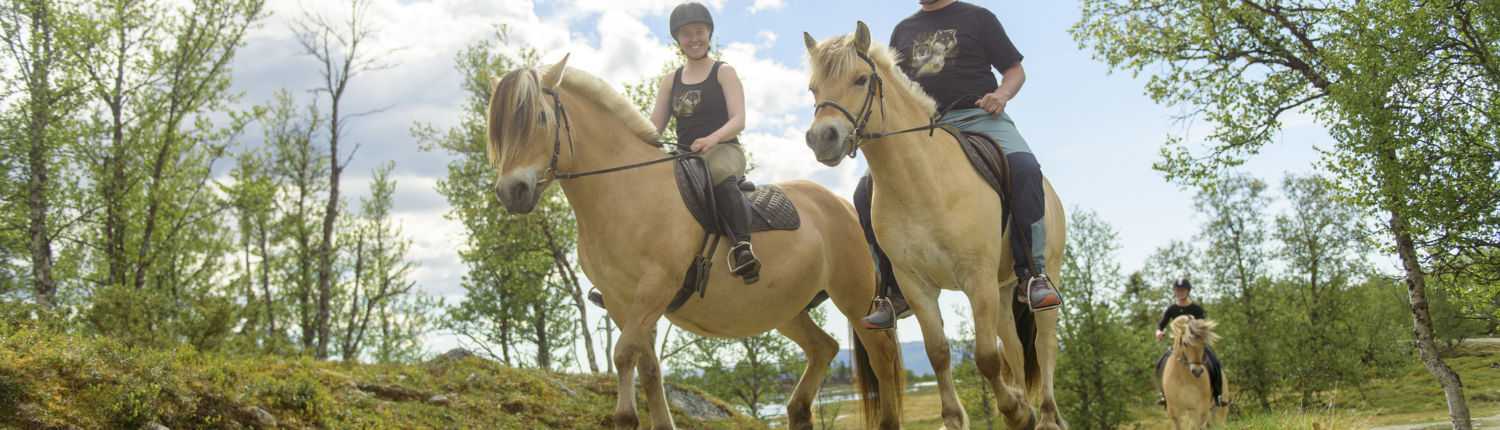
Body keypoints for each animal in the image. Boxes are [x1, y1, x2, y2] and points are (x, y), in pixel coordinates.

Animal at [486, 55, 900, 428]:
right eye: (499, 130)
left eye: (540, 119)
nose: (511, 192)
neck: (622, 188)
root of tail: (842, 205)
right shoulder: (621, 301)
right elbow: (647, 366)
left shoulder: (655, 288)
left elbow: (623, 355)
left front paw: (625, 416)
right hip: (789, 307)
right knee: (823, 348)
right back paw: (798, 410)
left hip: (854, 300)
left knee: (882, 362)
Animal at [804, 22, 1074, 430]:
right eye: (813, 89)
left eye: (861, 79)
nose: (822, 138)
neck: (922, 182)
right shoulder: (916, 283)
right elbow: (938, 353)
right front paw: (957, 417)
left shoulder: (976, 278)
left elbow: (985, 357)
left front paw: (1013, 409)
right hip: (1004, 288)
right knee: (1013, 345)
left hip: (1043, 273)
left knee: (1045, 344)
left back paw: (1044, 415)